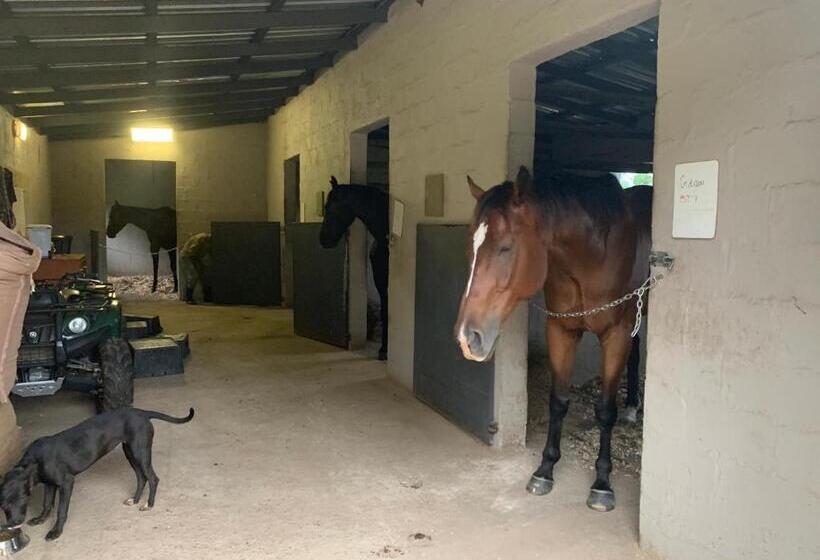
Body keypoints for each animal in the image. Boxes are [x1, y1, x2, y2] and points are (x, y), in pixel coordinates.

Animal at [454, 166, 651, 512]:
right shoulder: (560, 331)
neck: (593, 257)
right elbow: (558, 401)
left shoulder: (615, 335)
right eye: (471, 248)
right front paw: (545, 469)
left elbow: (605, 410)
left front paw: (602, 483)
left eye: (506, 247)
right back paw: (631, 407)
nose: (468, 337)